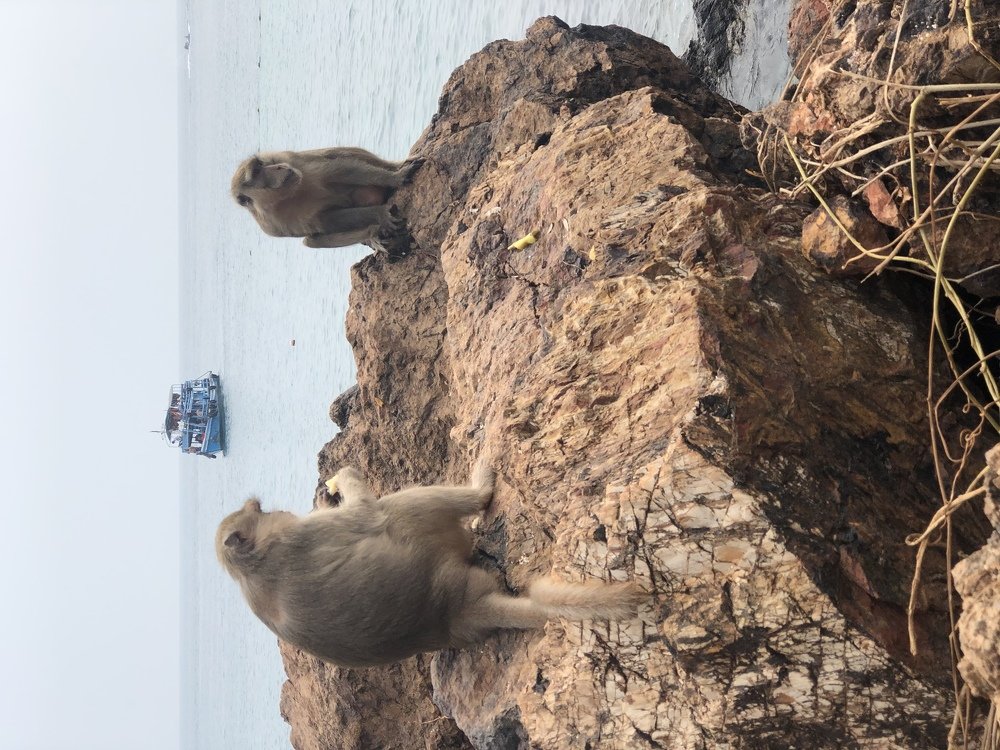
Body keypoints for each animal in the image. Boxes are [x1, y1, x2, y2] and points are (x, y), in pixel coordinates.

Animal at [216, 462, 644, 668]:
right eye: (261, 513)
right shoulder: (301, 536)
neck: (251, 569)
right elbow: (366, 514)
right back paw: (481, 488)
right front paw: (347, 479)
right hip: (432, 543)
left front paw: (329, 491)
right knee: (398, 509)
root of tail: (454, 613)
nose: (276, 509)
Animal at [230, 147, 421, 250]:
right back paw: (372, 234)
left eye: (261, 164)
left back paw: (396, 166)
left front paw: (395, 177)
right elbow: (324, 223)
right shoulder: (273, 226)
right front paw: (379, 218)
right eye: (257, 172)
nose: (278, 167)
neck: (284, 197)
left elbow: (339, 171)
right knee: (313, 240)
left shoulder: (289, 160)